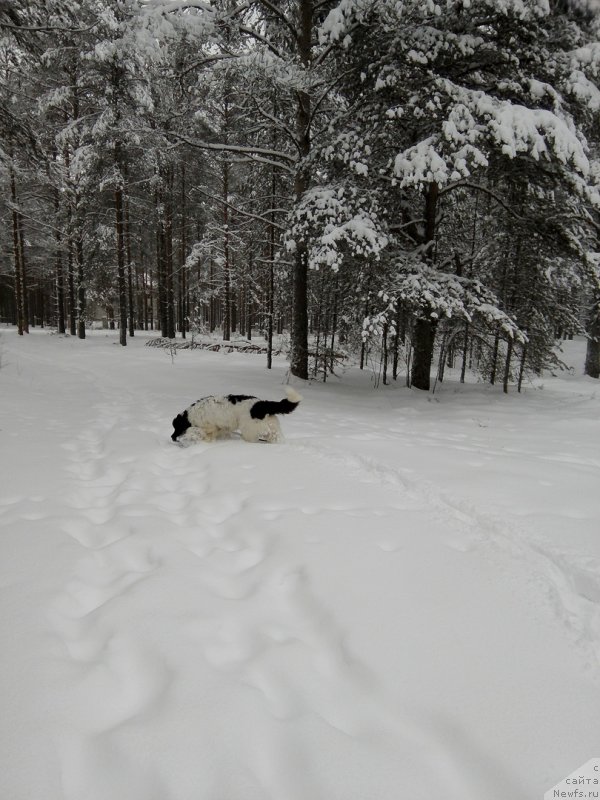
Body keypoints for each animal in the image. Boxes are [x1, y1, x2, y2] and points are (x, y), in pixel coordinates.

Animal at [171, 386, 302, 444]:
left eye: (176, 427)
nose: (172, 437)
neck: (190, 415)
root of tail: (260, 404)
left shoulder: (209, 427)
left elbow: (197, 431)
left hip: (249, 429)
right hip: (271, 427)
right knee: (275, 437)